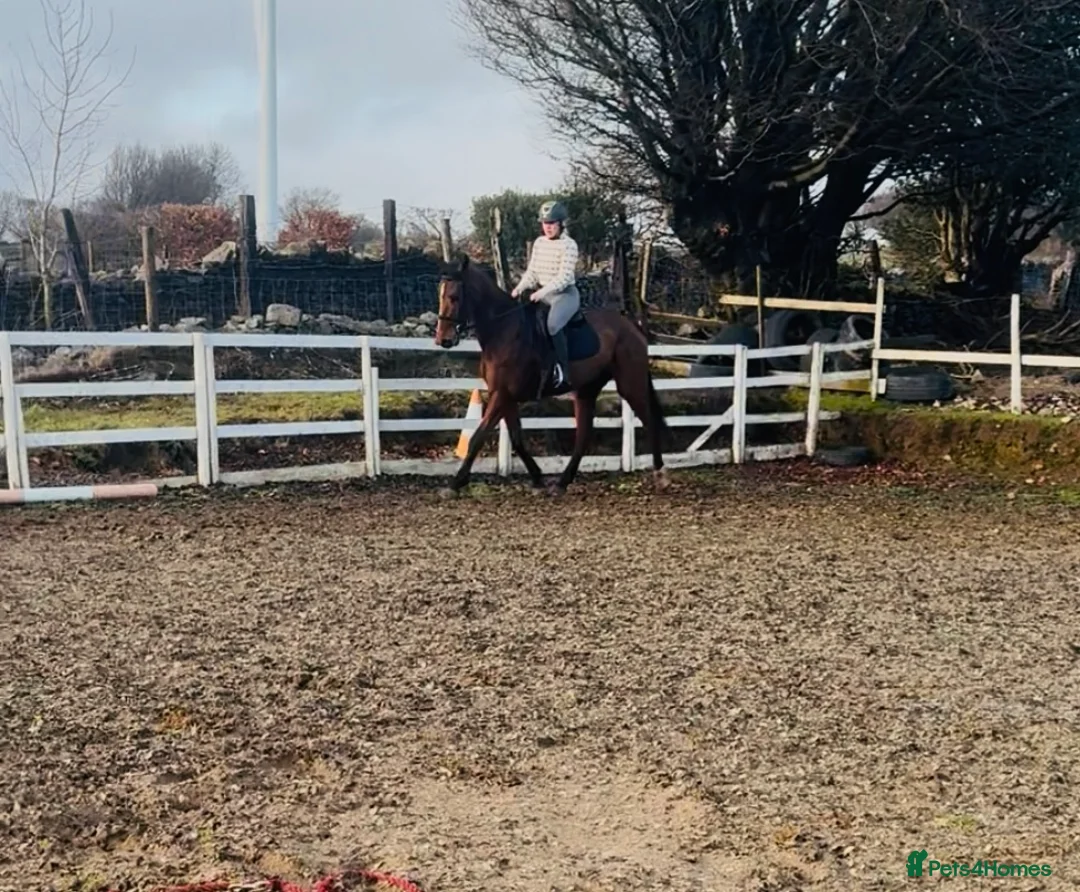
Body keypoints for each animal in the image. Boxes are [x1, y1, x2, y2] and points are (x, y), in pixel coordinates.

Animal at [433, 254, 671, 496]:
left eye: (454, 297)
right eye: (440, 295)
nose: (443, 339)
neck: (504, 331)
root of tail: (632, 327)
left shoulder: (501, 395)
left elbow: (478, 437)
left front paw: (454, 484)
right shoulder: (504, 396)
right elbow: (517, 438)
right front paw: (537, 478)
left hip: (629, 384)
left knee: (649, 421)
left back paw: (660, 474)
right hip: (586, 390)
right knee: (584, 434)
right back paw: (562, 483)